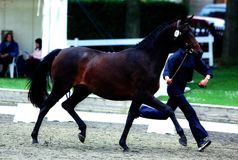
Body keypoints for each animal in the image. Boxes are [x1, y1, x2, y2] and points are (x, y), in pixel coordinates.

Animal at [28, 15, 203, 151]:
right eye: (186, 32)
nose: (199, 51)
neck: (147, 58)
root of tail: (61, 51)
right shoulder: (144, 95)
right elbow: (168, 110)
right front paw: (183, 138)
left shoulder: (138, 98)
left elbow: (130, 118)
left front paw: (123, 144)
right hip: (61, 87)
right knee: (45, 107)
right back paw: (35, 137)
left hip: (82, 90)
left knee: (67, 105)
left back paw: (82, 133)